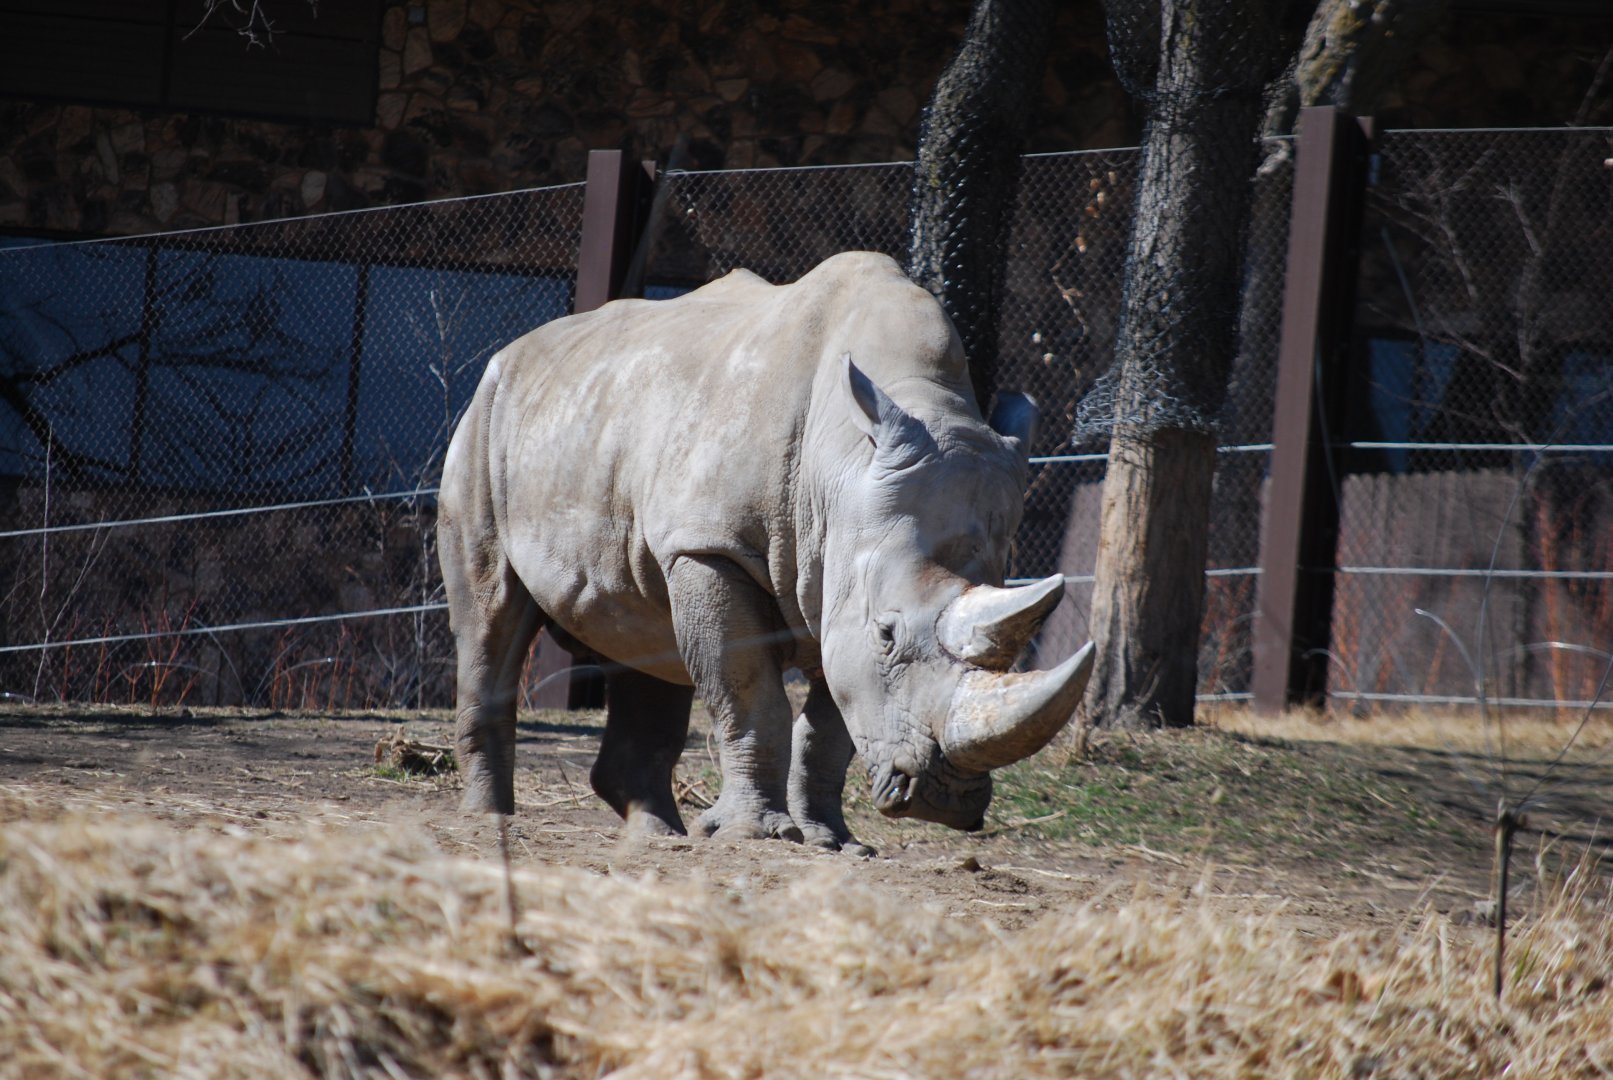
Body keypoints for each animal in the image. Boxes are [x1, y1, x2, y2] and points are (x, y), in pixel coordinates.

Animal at [438, 250, 1093, 853]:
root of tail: (514, 352)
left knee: (644, 631)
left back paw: (659, 838)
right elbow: (752, 694)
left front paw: (834, 844)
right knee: (491, 616)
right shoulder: (712, 547)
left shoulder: (836, 578)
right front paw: (757, 835)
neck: (844, 466)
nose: (946, 800)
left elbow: (829, 728)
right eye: (887, 634)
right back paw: (489, 820)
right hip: (487, 420)